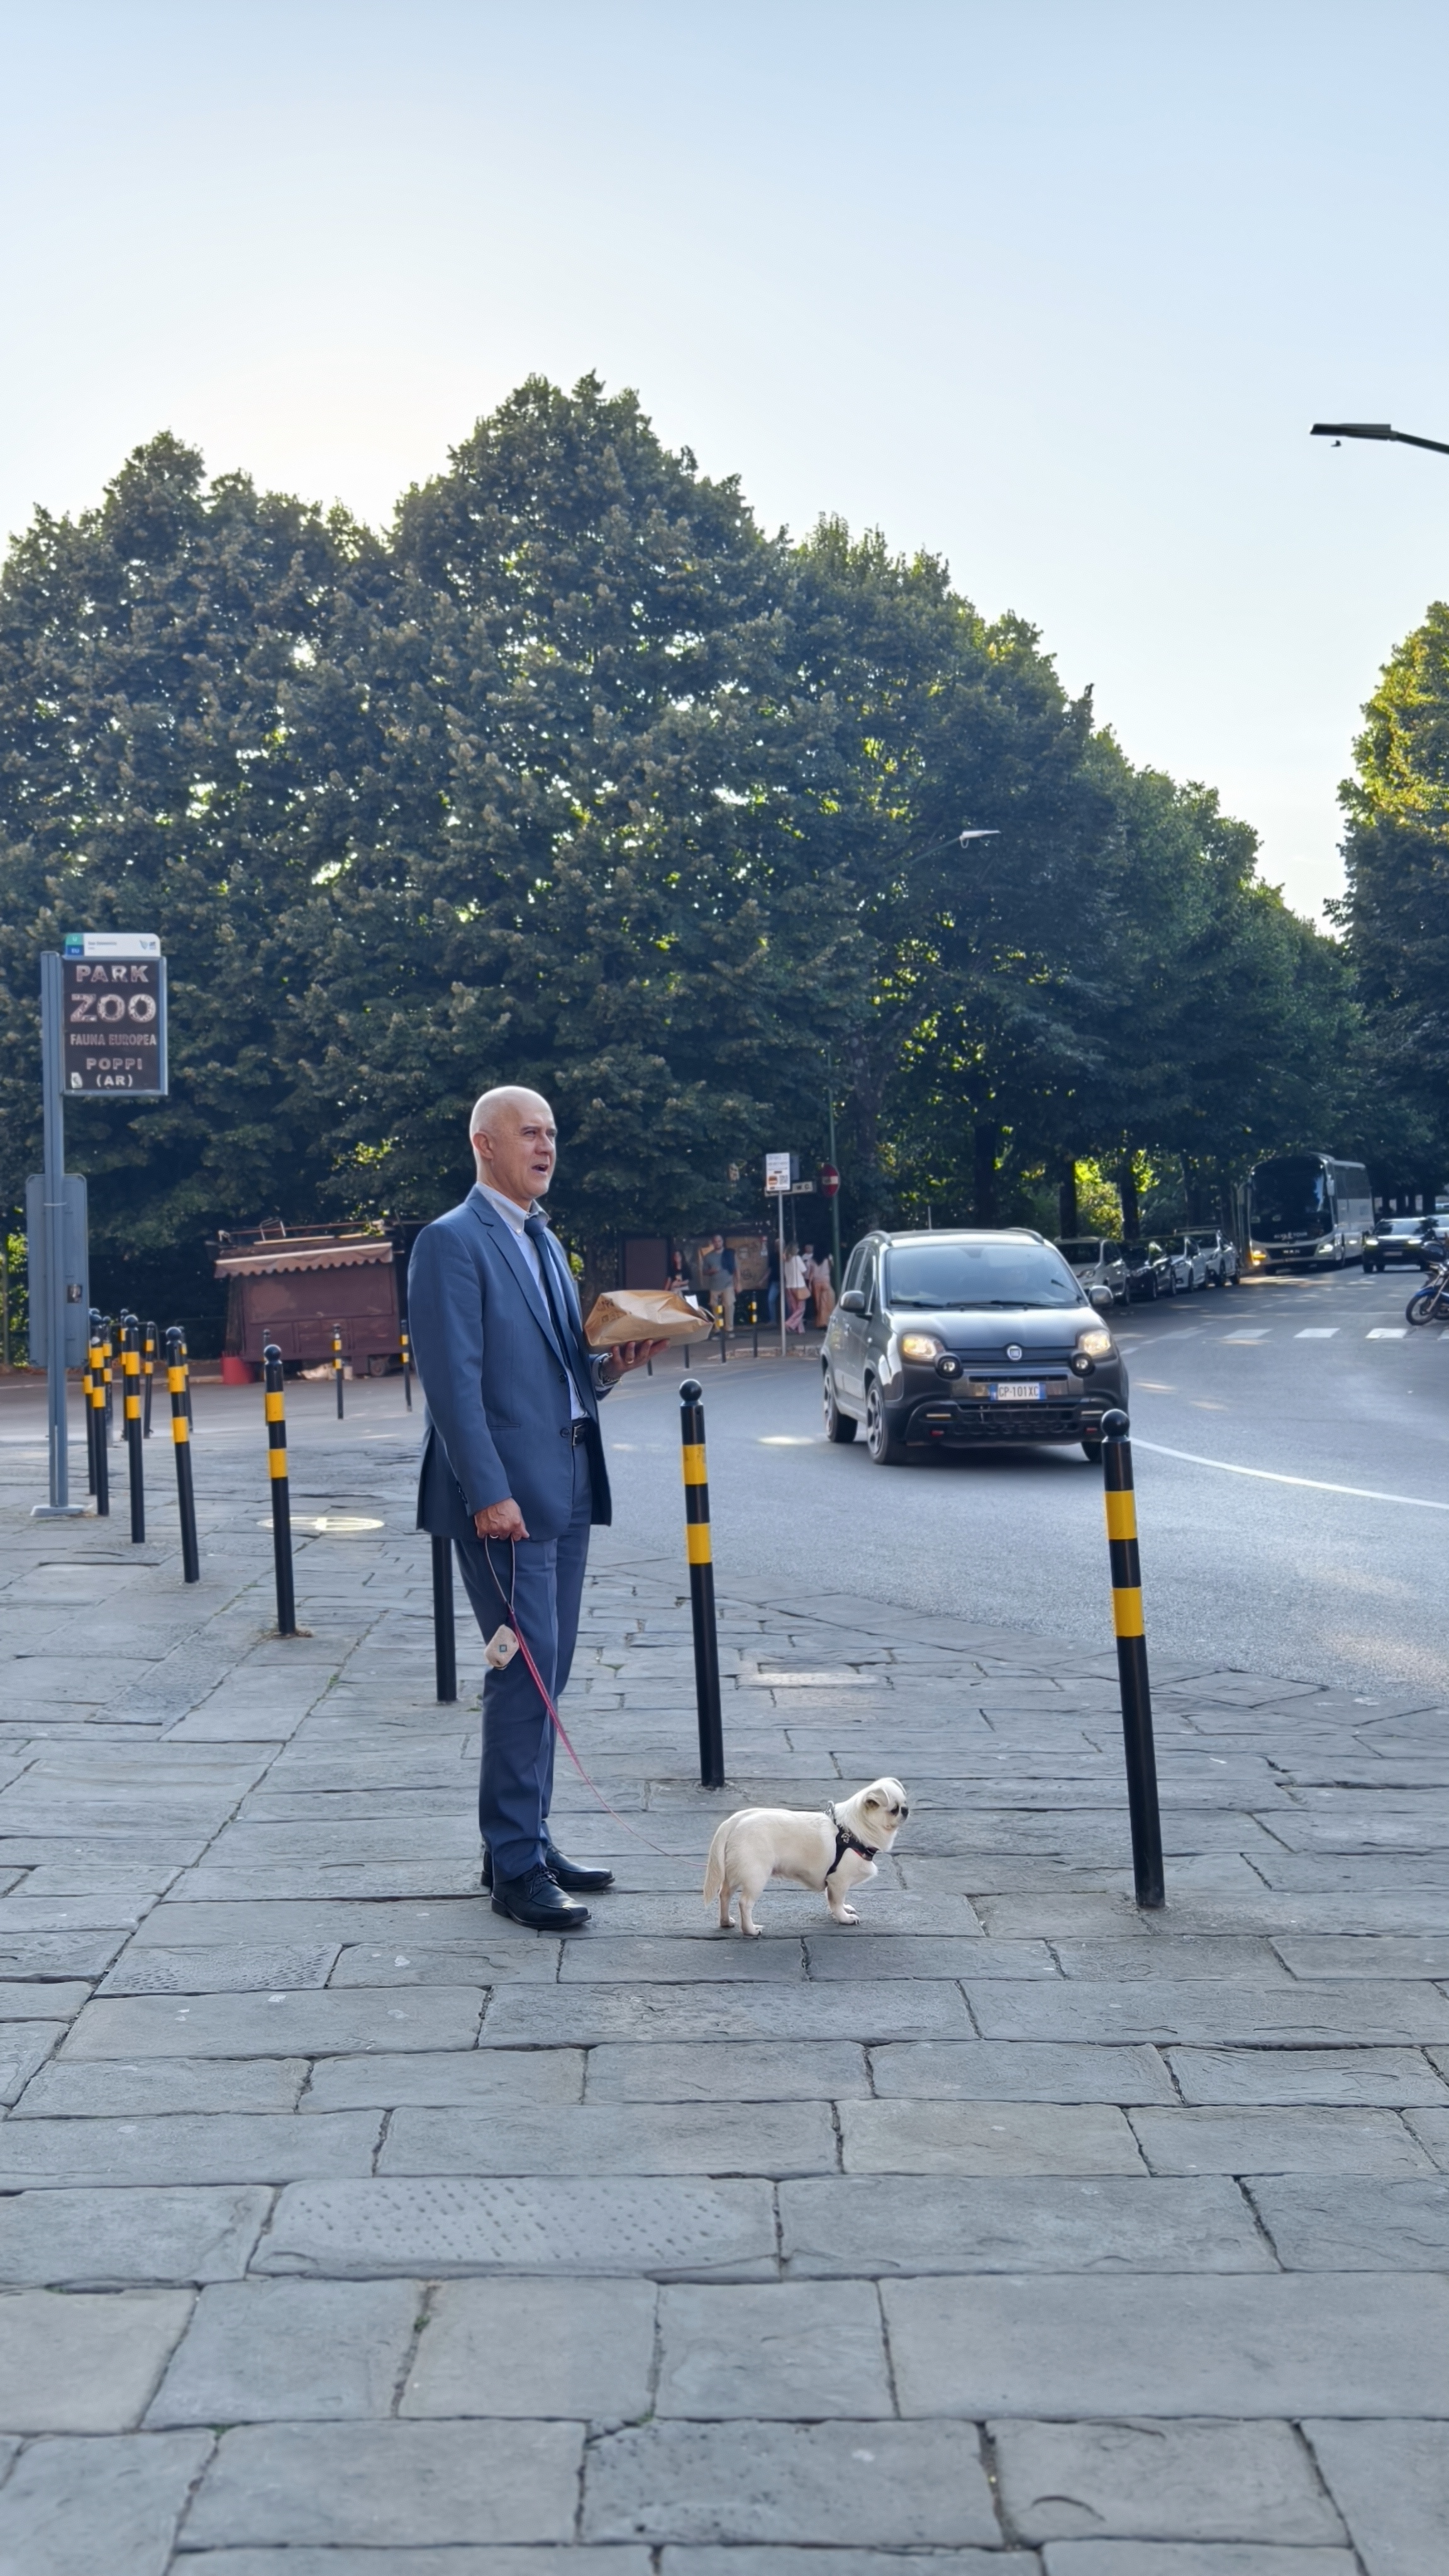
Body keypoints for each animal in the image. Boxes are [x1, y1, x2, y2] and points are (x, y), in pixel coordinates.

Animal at [702, 1777, 910, 1937]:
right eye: (894, 1809)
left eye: (905, 1803)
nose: (906, 1810)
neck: (851, 1832)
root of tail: (734, 1822)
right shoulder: (839, 1881)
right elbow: (837, 1902)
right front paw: (844, 1918)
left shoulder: (832, 1882)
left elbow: (833, 1900)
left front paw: (843, 1910)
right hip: (756, 1877)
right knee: (744, 1903)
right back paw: (751, 1931)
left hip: (733, 1874)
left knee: (724, 1895)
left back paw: (725, 1922)